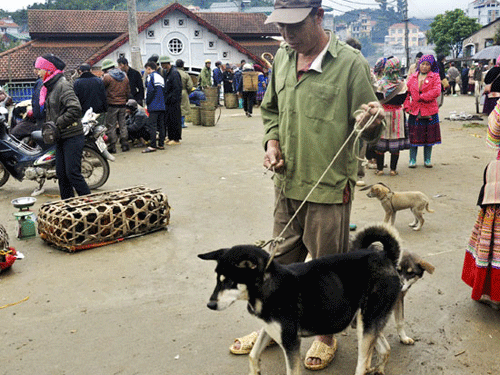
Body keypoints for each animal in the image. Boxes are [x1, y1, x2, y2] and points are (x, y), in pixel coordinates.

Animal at [198, 225, 402, 374]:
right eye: (218, 279)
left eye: (229, 281)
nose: (210, 304)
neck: (267, 286)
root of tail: (385, 257)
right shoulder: (270, 328)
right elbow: (253, 355)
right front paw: (255, 371)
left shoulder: (290, 342)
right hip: (362, 321)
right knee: (384, 349)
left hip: (367, 322)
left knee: (363, 363)